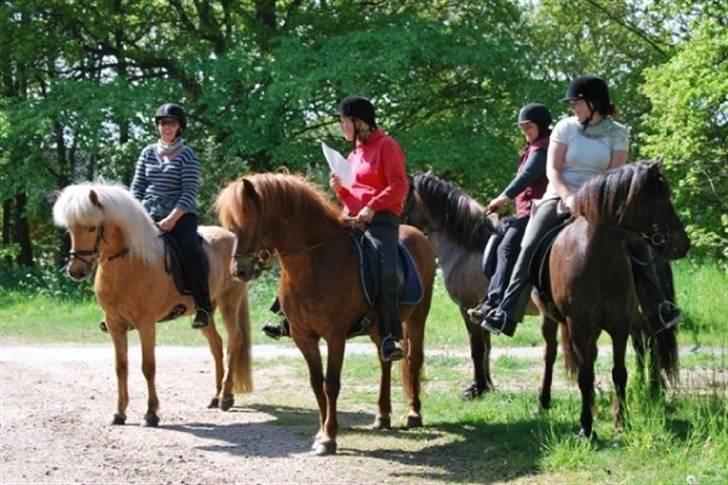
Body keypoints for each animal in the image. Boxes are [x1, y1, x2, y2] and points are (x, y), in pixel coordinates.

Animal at [53, 181, 253, 424]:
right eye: (70, 229)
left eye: (92, 228)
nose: (76, 271)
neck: (129, 263)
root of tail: (232, 237)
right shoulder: (115, 324)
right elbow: (121, 367)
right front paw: (119, 412)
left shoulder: (146, 324)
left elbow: (148, 367)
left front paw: (151, 413)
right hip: (205, 312)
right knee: (216, 344)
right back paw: (215, 397)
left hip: (229, 302)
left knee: (234, 340)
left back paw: (226, 397)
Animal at [213, 173, 436, 454]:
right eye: (230, 225)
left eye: (249, 220)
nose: (239, 271)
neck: (316, 261)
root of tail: (417, 234)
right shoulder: (303, 337)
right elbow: (316, 383)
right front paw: (321, 434)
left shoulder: (335, 336)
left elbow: (331, 384)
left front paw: (330, 438)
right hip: (379, 328)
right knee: (385, 360)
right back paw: (382, 415)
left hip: (418, 318)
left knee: (413, 359)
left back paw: (414, 413)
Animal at [404, 172, 540, 398]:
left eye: (405, 197)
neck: (468, 247)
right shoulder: (480, 312)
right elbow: (487, 348)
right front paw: (487, 386)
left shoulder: (467, 307)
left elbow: (477, 349)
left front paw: (478, 388)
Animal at [540, 161, 688, 436]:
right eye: (660, 200)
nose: (683, 244)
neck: (596, 257)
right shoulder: (580, 325)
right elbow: (585, 373)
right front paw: (586, 426)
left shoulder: (620, 324)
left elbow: (619, 372)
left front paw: (622, 419)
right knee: (554, 353)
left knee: (647, 342)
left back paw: (653, 391)